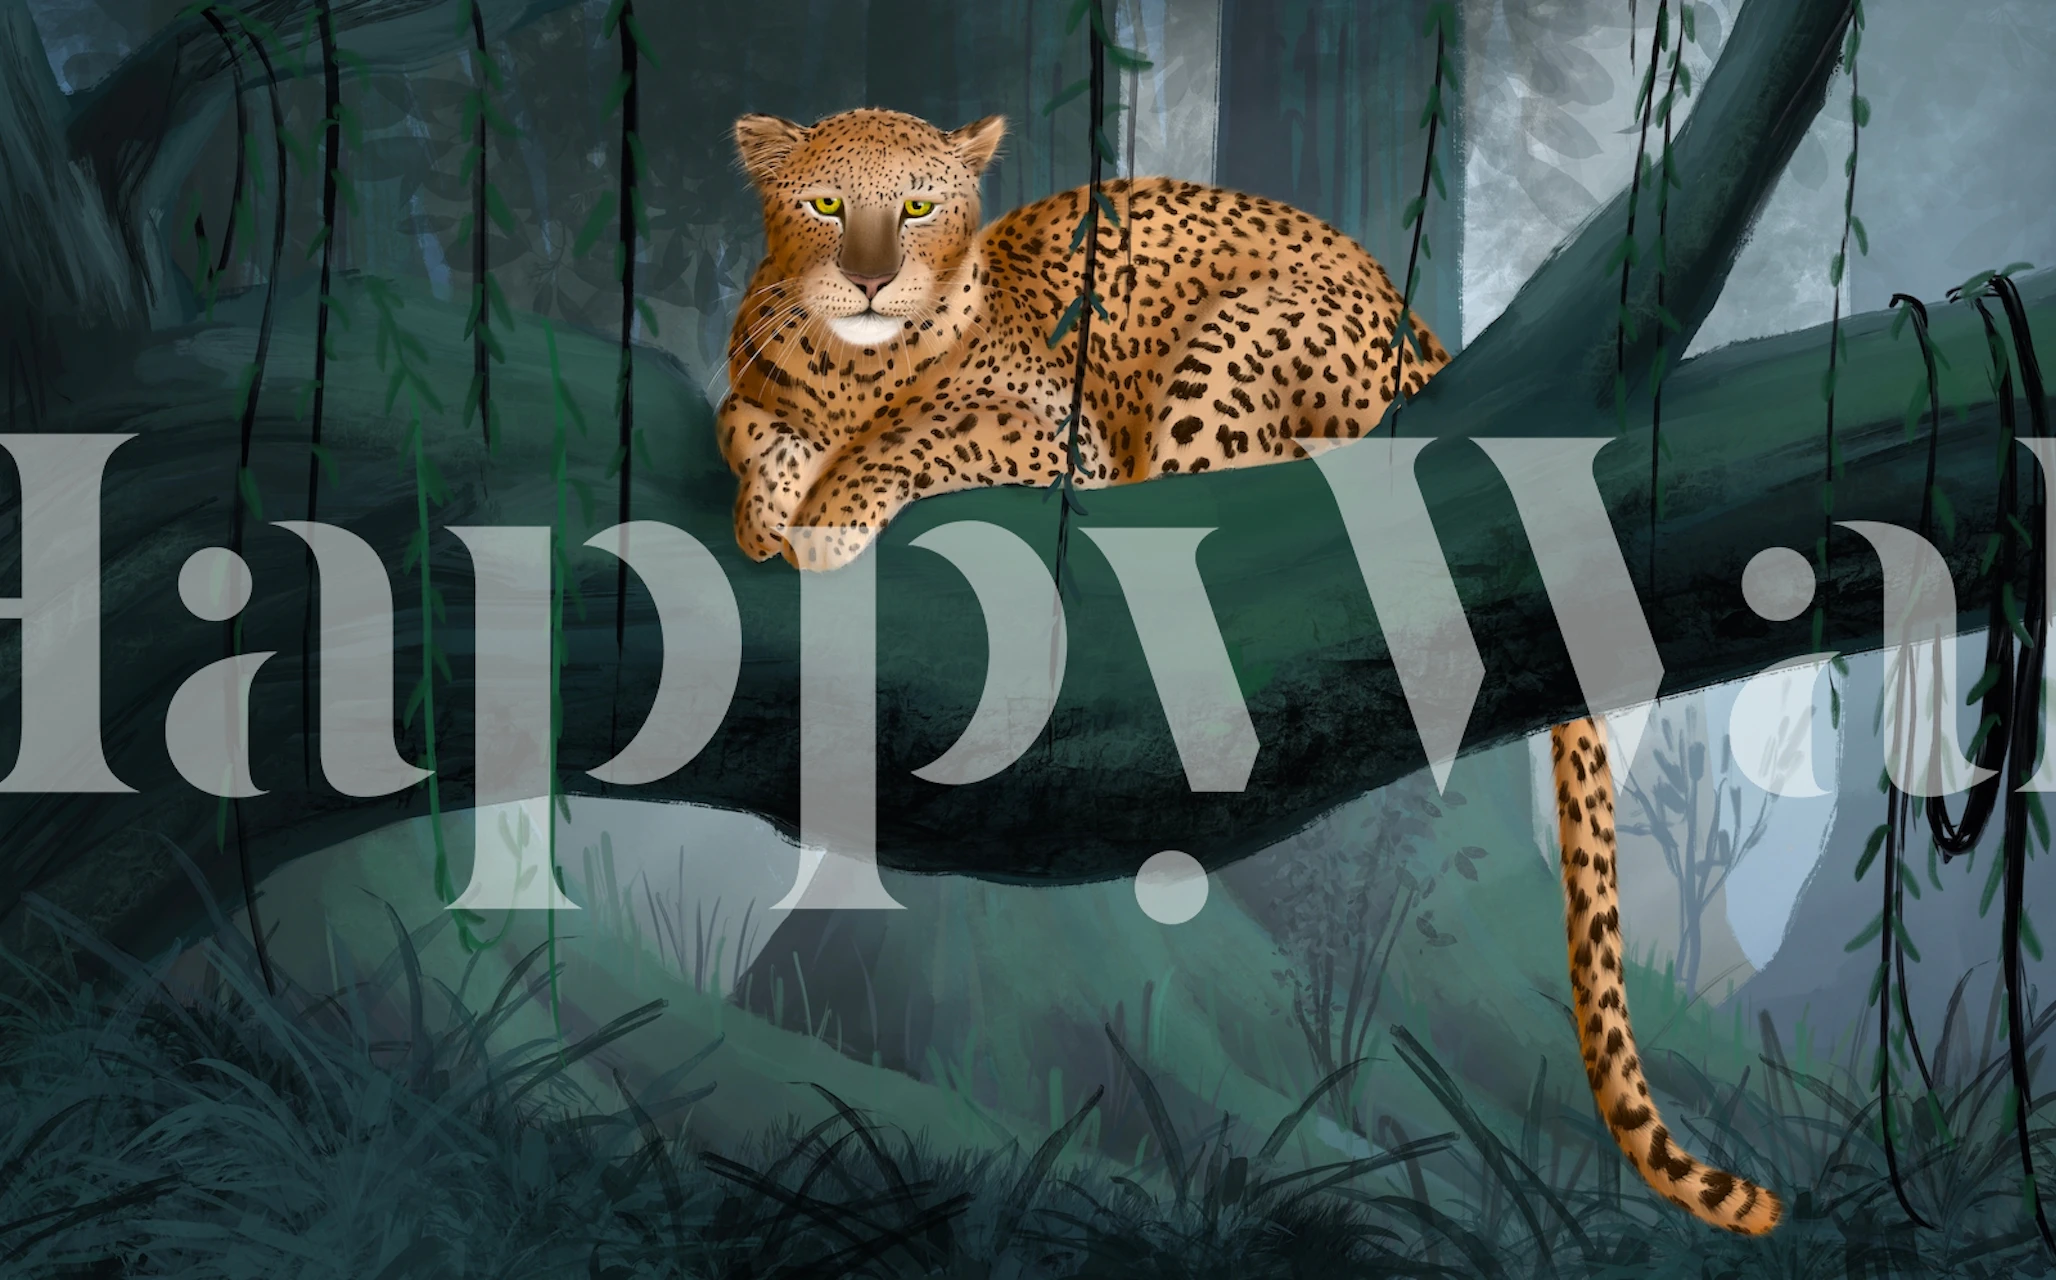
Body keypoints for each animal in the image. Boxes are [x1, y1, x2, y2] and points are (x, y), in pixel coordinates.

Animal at [718, 106, 1783, 1237]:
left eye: (917, 206)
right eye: (826, 203)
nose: (873, 280)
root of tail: (1421, 330)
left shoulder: (1055, 437)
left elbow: (922, 436)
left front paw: (830, 509)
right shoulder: (758, 392)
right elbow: (751, 429)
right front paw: (770, 502)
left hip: (1229, 360)